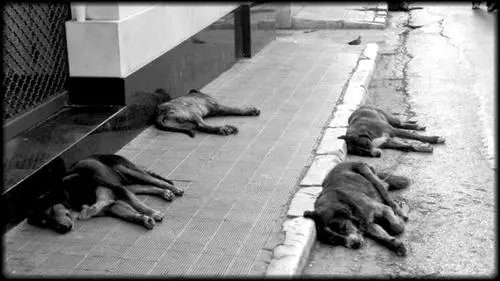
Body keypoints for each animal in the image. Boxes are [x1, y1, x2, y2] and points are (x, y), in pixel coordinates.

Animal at [27, 153, 184, 232]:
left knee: (155, 181)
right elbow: (129, 214)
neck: (71, 196)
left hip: (126, 170)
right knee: (148, 187)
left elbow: (138, 205)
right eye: (45, 223)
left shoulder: (116, 189)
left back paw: (174, 189)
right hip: (126, 184)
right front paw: (145, 219)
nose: (62, 229)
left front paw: (153, 213)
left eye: (52, 211)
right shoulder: (112, 204)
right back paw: (165, 193)